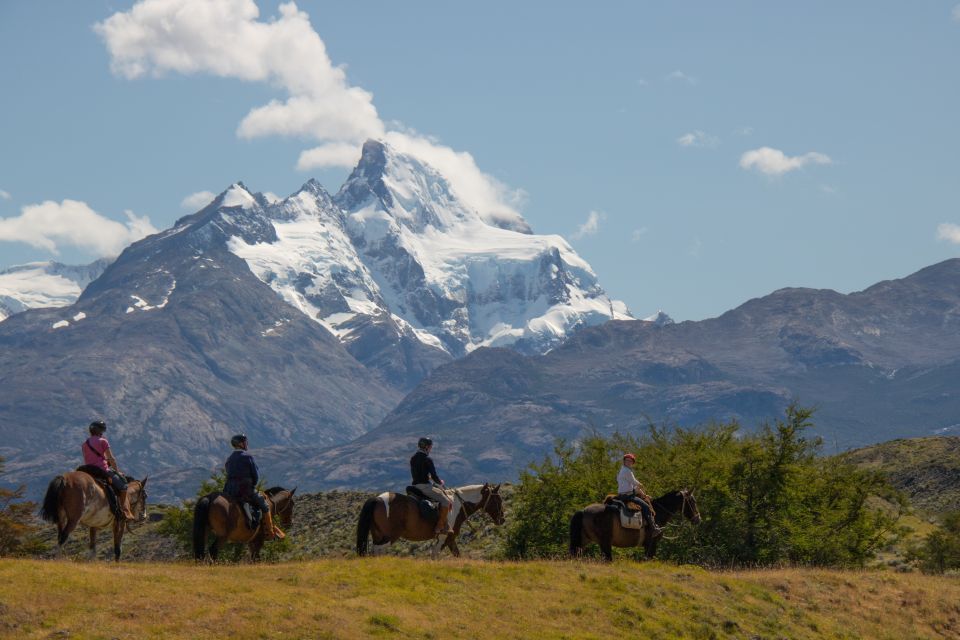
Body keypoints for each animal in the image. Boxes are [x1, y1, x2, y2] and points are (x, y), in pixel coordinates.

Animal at [356, 482, 506, 556]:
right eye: (497, 499)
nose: (502, 519)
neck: (456, 505)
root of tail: (378, 499)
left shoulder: (450, 539)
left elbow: (457, 554)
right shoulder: (443, 539)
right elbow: (435, 556)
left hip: (378, 535)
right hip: (389, 537)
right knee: (378, 551)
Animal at [568, 490, 700, 560]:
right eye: (692, 501)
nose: (698, 519)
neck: (658, 513)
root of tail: (583, 511)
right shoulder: (651, 544)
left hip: (584, 540)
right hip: (604, 542)